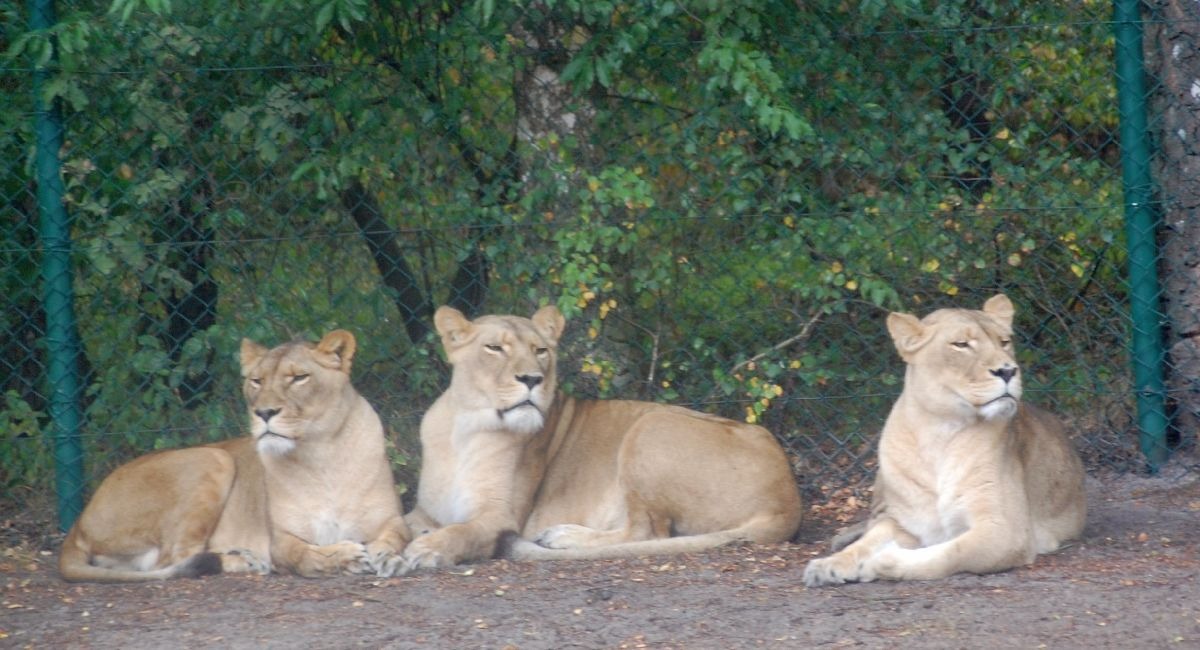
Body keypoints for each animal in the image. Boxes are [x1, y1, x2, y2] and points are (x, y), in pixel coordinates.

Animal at [59, 330, 411, 582]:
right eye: (256, 381)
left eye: (299, 377)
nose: (263, 412)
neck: (322, 452)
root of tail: (78, 522)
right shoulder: (280, 538)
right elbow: (305, 556)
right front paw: (345, 557)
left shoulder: (391, 519)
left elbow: (396, 537)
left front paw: (387, 558)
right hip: (212, 458)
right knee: (175, 558)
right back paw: (246, 561)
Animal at [401, 304, 803, 569]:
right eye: (494, 348)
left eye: (540, 350)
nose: (532, 379)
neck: (465, 428)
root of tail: (789, 499)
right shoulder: (423, 512)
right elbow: (396, 522)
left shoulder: (501, 518)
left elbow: (461, 532)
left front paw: (426, 550)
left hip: (650, 426)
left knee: (647, 532)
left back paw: (563, 536)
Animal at [802, 294, 1086, 587]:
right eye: (961, 345)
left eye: (1004, 342)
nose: (1008, 371)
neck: (938, 431)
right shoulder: (906, 522)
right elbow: (868, 542)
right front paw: (827, 566)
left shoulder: (1006, 531)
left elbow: (951, 553)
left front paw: (881, 562)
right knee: (872, 520)